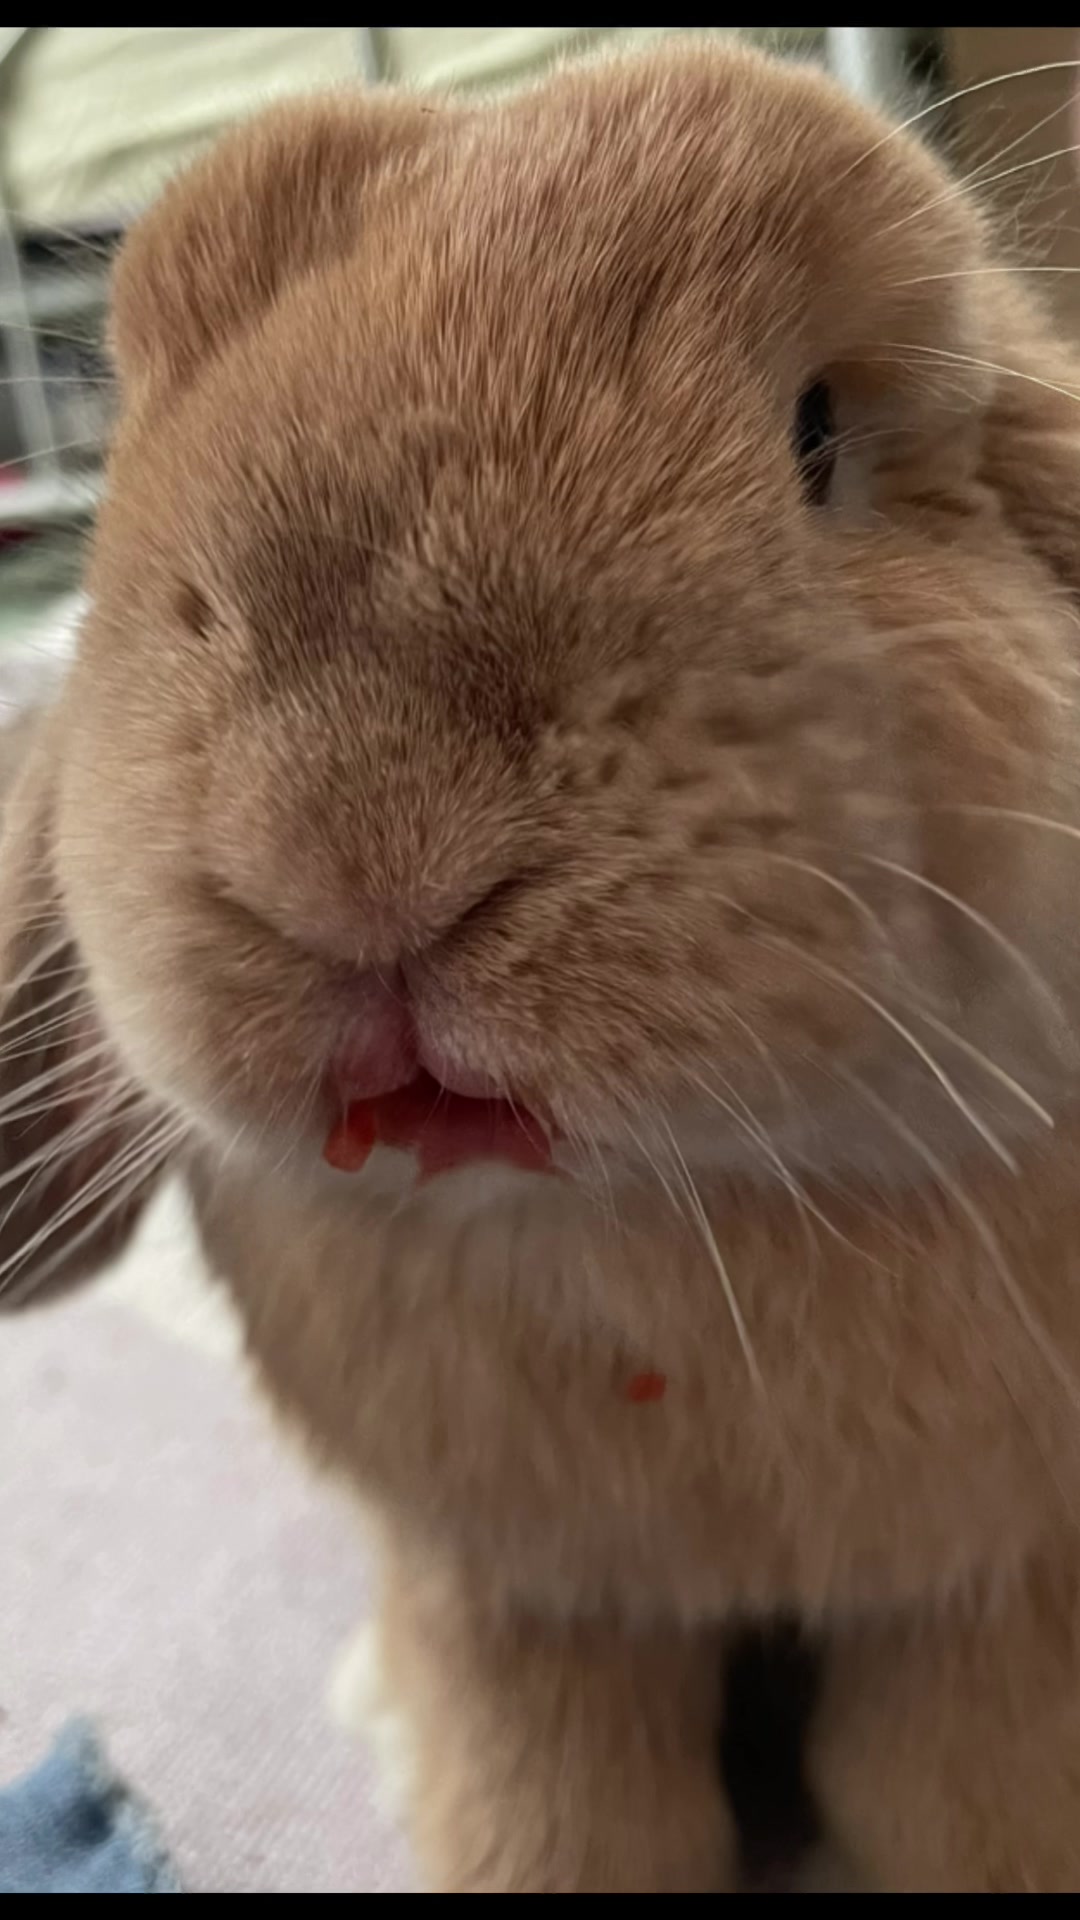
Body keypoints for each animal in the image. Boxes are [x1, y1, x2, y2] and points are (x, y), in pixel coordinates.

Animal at [6, 37, 1080, 1891]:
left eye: (817, 433)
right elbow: (556, 1804)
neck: (659, 1236)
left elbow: (964, 1797)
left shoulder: (999, 1588)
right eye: (141, 422)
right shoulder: (520, 1601)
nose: (356, 843)